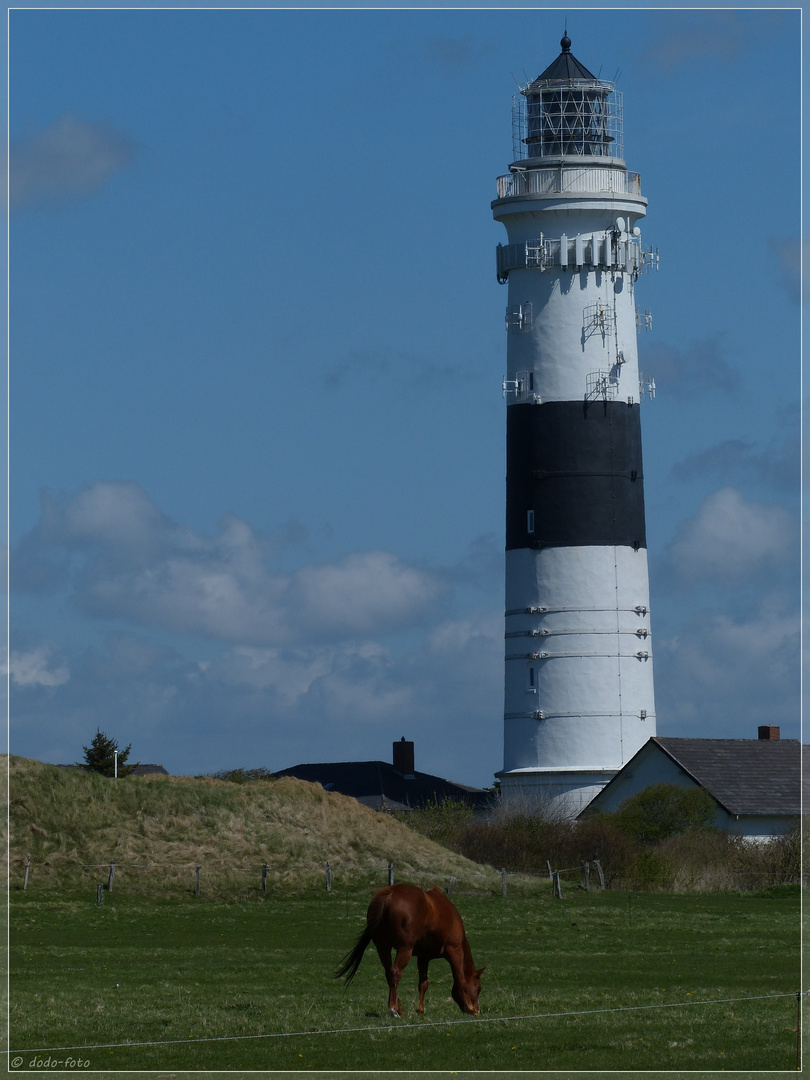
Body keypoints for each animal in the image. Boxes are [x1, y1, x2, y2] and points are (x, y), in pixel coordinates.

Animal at [334, 881, 481, 1015]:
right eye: (479, 989)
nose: (477, 1011)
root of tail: (389, 895)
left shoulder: (423, 957)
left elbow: (423, 983)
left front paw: (420, 1009)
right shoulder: (455, 951)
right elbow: (461, 979)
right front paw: (469, 1006)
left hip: (383, 948)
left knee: (389, 974)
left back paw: (398, 1008)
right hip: (405, 950)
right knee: (395, 972)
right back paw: (393, 1009)